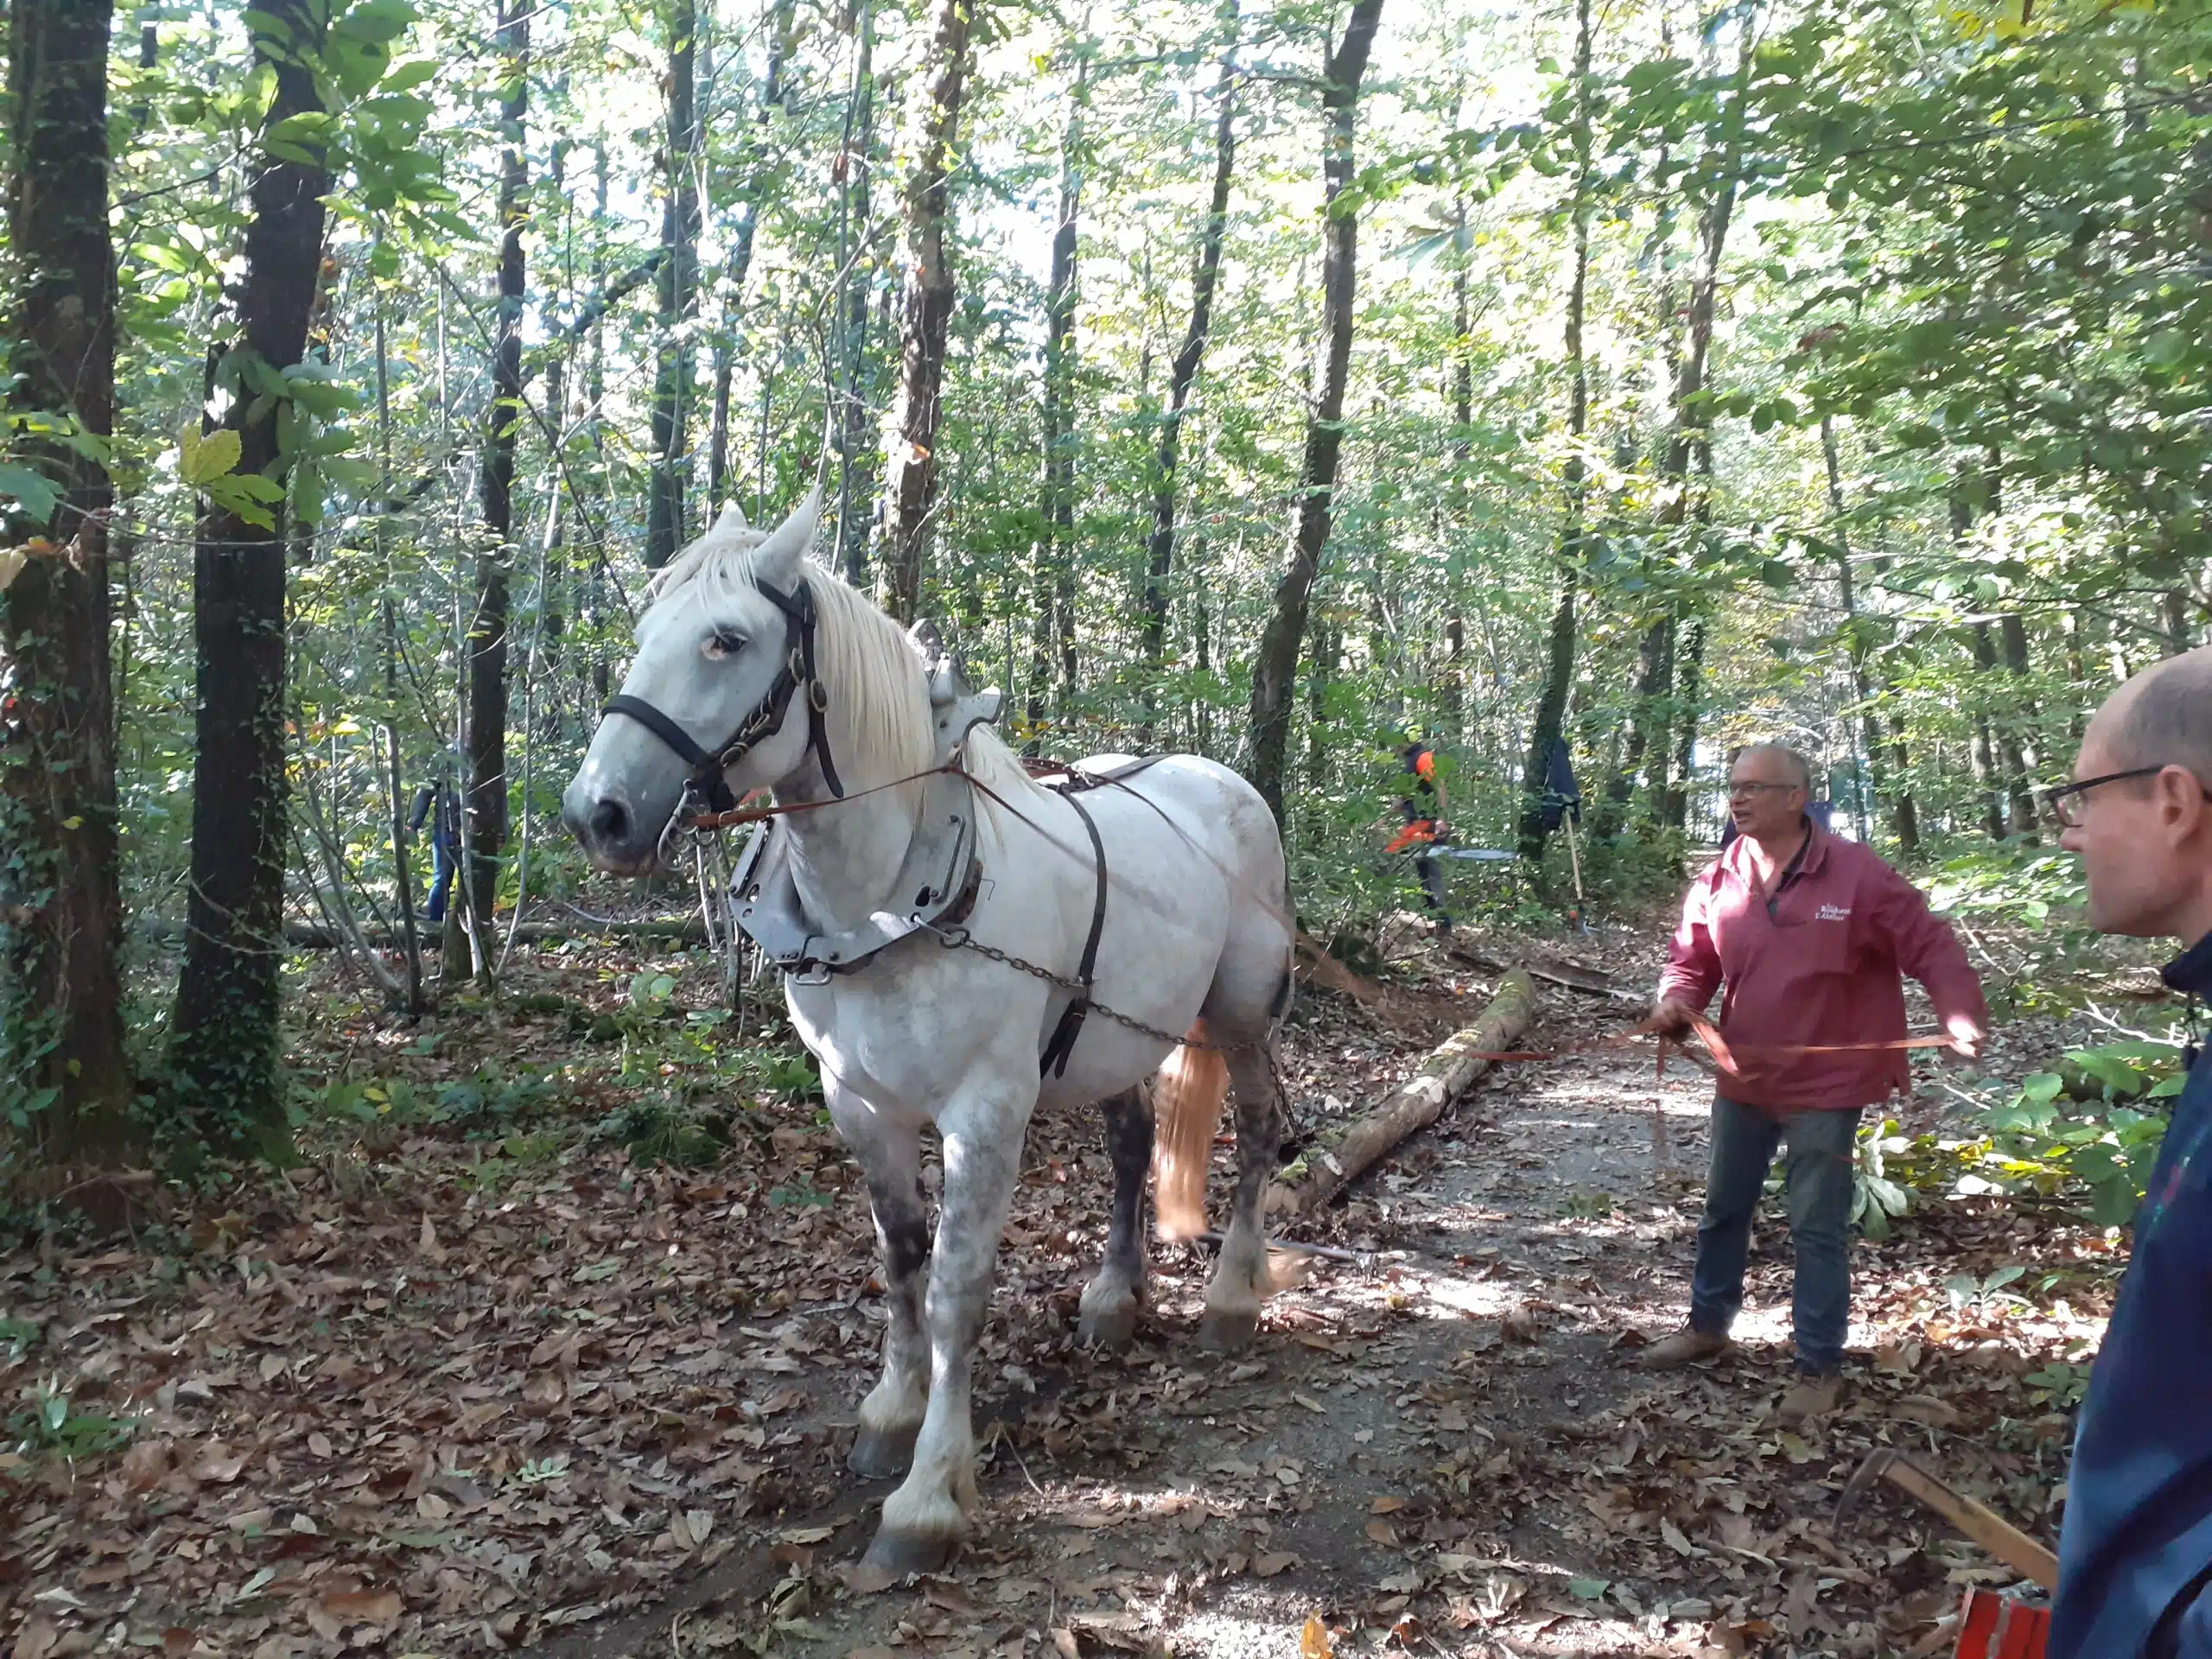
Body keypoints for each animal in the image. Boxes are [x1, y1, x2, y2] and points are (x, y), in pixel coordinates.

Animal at [562, 486, 1292, 1574]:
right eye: (642, 634)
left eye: (726, 640)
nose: (595, 814)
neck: (889, 896)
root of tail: (1225, 781)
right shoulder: (859, 1102)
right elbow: (900, 1255)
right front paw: (889, 1413)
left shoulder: (984, 1113)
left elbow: (955, 1284)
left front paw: (929, 1493)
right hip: (1117, 1037)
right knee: (1129, 1148)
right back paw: (1112, 1299)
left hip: (1238, 1016)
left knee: (1260, 1131)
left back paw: (1233, 1300)